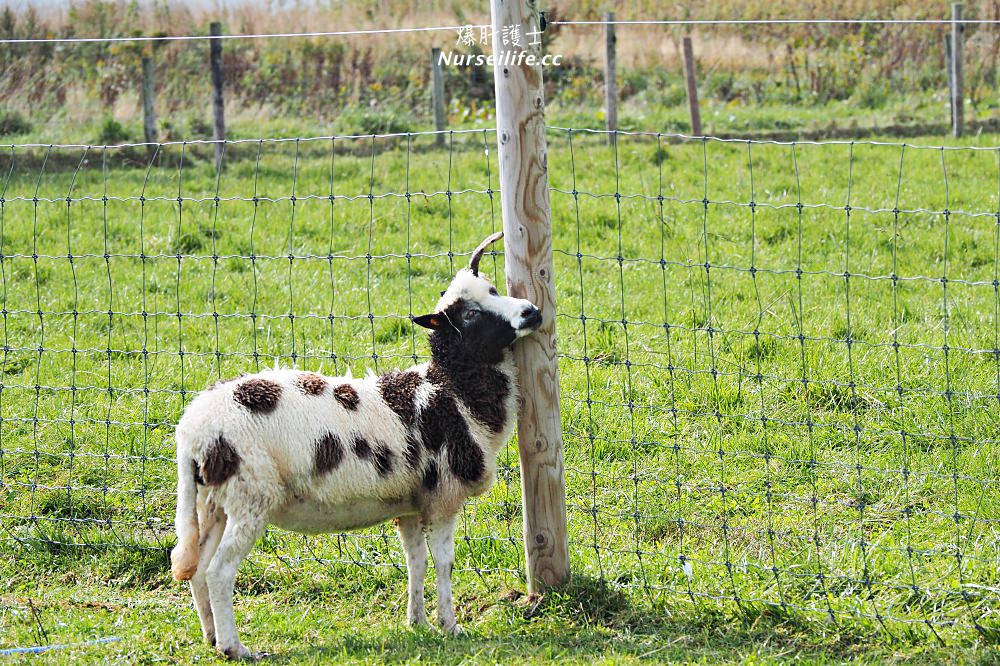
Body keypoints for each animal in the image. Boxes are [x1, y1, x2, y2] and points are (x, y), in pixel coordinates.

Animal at [174, 231, 548, 656]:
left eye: (493, 289)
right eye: (469, 315)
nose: (531, 312)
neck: (453, 392)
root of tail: (191, 430)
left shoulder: (411, 504)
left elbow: (416, 561)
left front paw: (416, 622)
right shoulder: (443, 497)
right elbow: (444, 563)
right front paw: (450, 626)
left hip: (214, 501)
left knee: (197, 568)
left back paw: (210, 635)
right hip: (249, 497)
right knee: (218, 572)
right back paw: (234, 648)